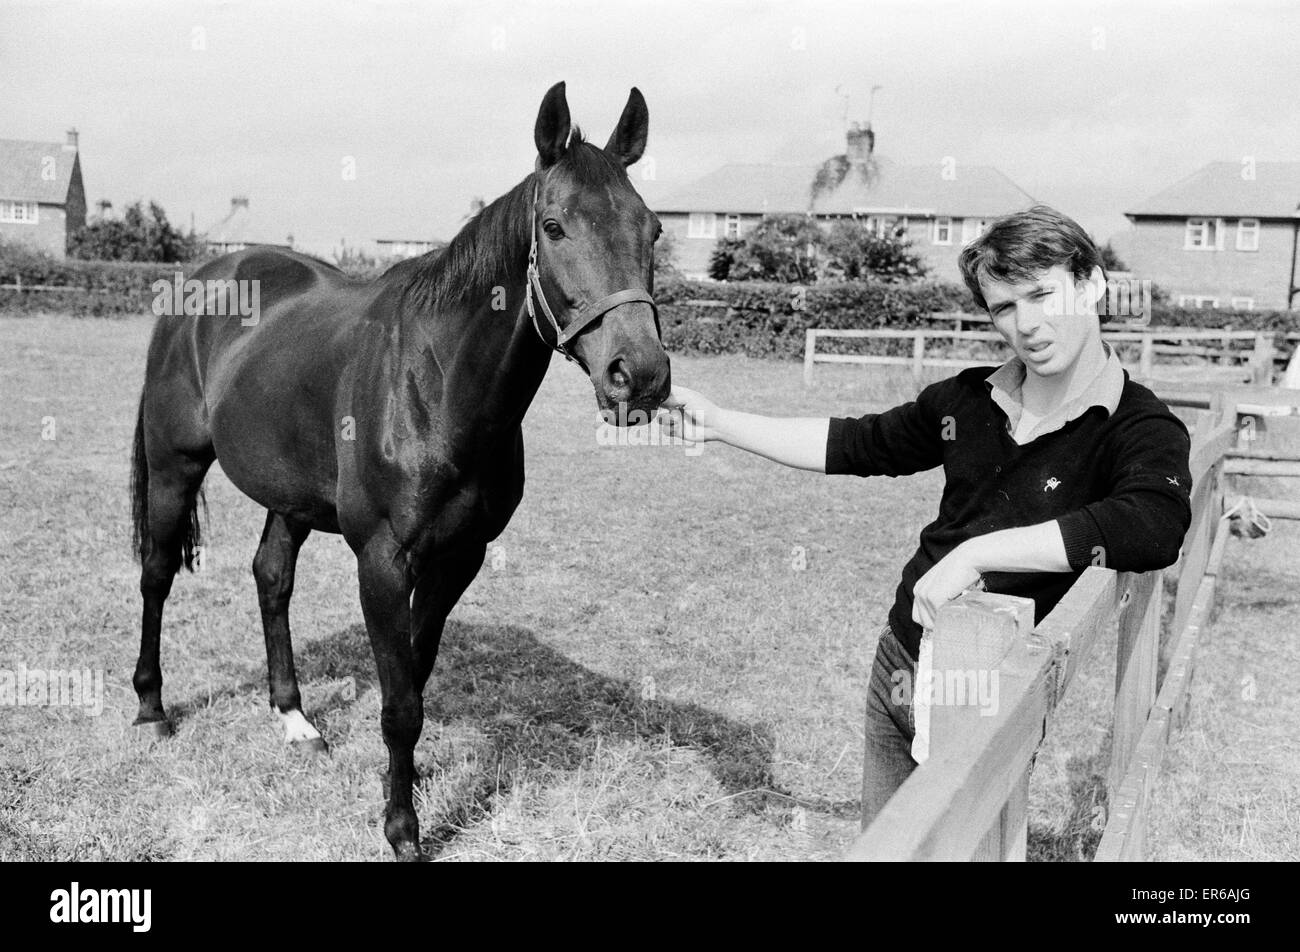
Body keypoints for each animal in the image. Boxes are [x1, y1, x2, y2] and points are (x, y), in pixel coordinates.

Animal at [129, 81, 670, 858]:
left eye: (651, 230)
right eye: (555, 226)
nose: (641, 375)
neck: (436, 386)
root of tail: (203, 279)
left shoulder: (459, 557)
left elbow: (413, 678)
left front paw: (406, 788)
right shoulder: (383, 561)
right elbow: (400, 704)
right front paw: (403, 828)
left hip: (290, 495)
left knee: (271, 578)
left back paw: (293, 719)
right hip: (175, 465)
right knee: (156, 574)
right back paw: (151, 708)